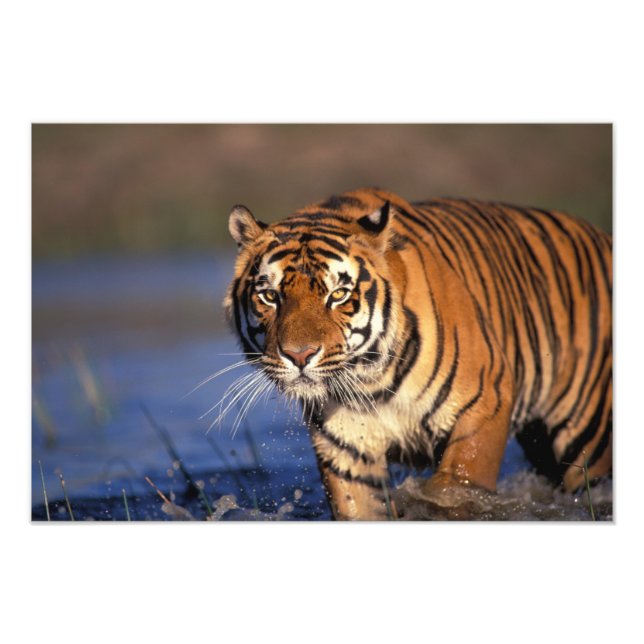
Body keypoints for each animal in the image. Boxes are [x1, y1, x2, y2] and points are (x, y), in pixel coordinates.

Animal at [223, 187, 612, 520]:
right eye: (270, 296)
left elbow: (455, 489)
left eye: (338, 295)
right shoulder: (346, 446)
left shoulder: (485, 404)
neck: (371, 382)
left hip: (589, 439)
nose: (299, 355)